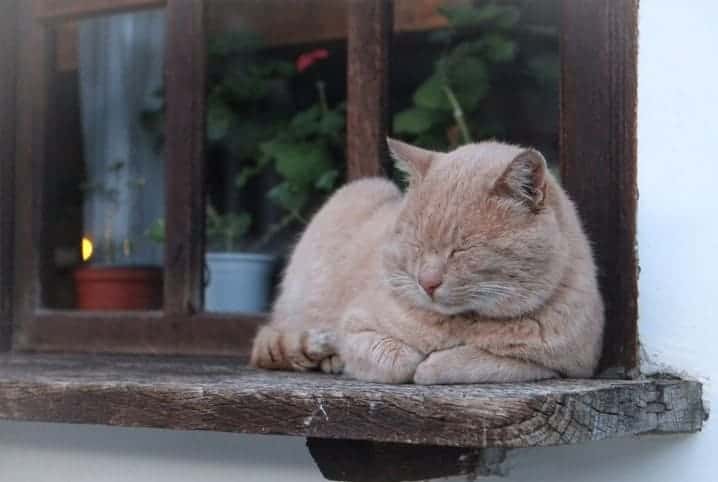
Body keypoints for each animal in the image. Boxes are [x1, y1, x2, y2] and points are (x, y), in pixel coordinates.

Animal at [250, 138, 604, 384]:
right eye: (417, 246)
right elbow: (396, 357)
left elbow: (474, 361)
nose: (427, 283)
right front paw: (411, 360)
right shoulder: (354, 328)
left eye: (462, 249)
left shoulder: (567, 366)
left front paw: (435, 363)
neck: (461, 322)